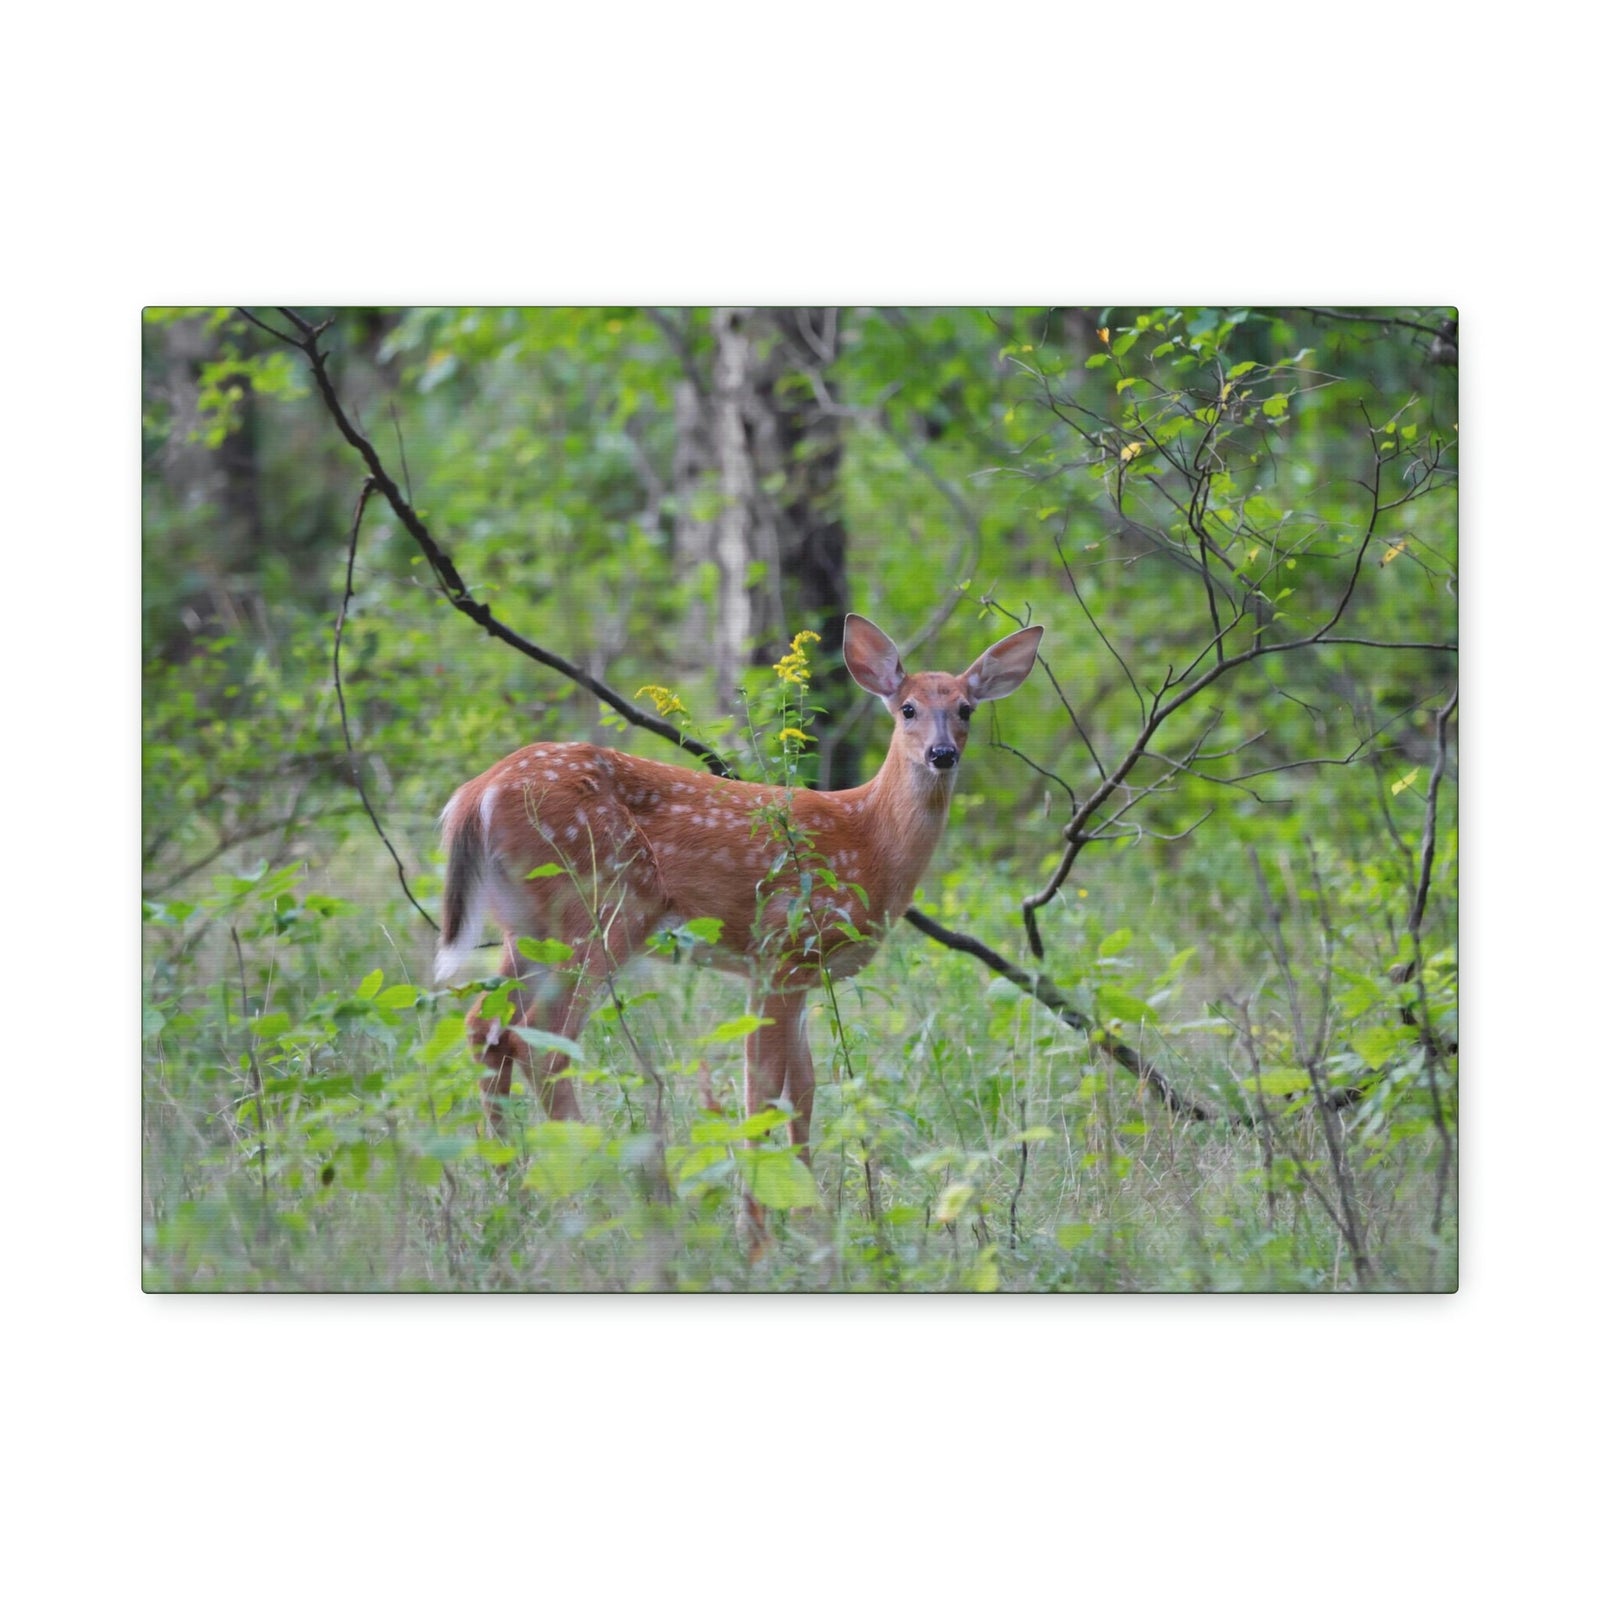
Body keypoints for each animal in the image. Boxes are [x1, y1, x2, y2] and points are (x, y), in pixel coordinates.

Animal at [434, 613, 1042, 1231]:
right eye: (908, 708)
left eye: (966, 708)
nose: (942, 754)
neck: (870, 840)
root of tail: (474, 796)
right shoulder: (782, 947)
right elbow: (763, 1088)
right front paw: (756, 1221)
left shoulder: (796, 972)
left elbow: (803, 1089)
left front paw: (809, 1215)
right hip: (601, 906)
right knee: (542, 1041)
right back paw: (606, 1193)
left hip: (528, 923)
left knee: (485, 1026)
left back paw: (514, 1189)